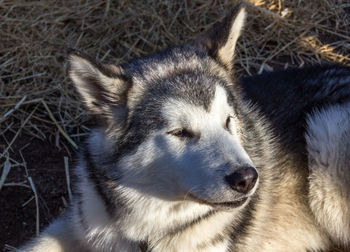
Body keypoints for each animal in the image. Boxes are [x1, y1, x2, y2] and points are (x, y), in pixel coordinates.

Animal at [21, 3, 350, 252]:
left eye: (228, 121)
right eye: (180, 132)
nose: (247, 178)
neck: (145, 229)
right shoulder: (79, 221)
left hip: (325, 131)